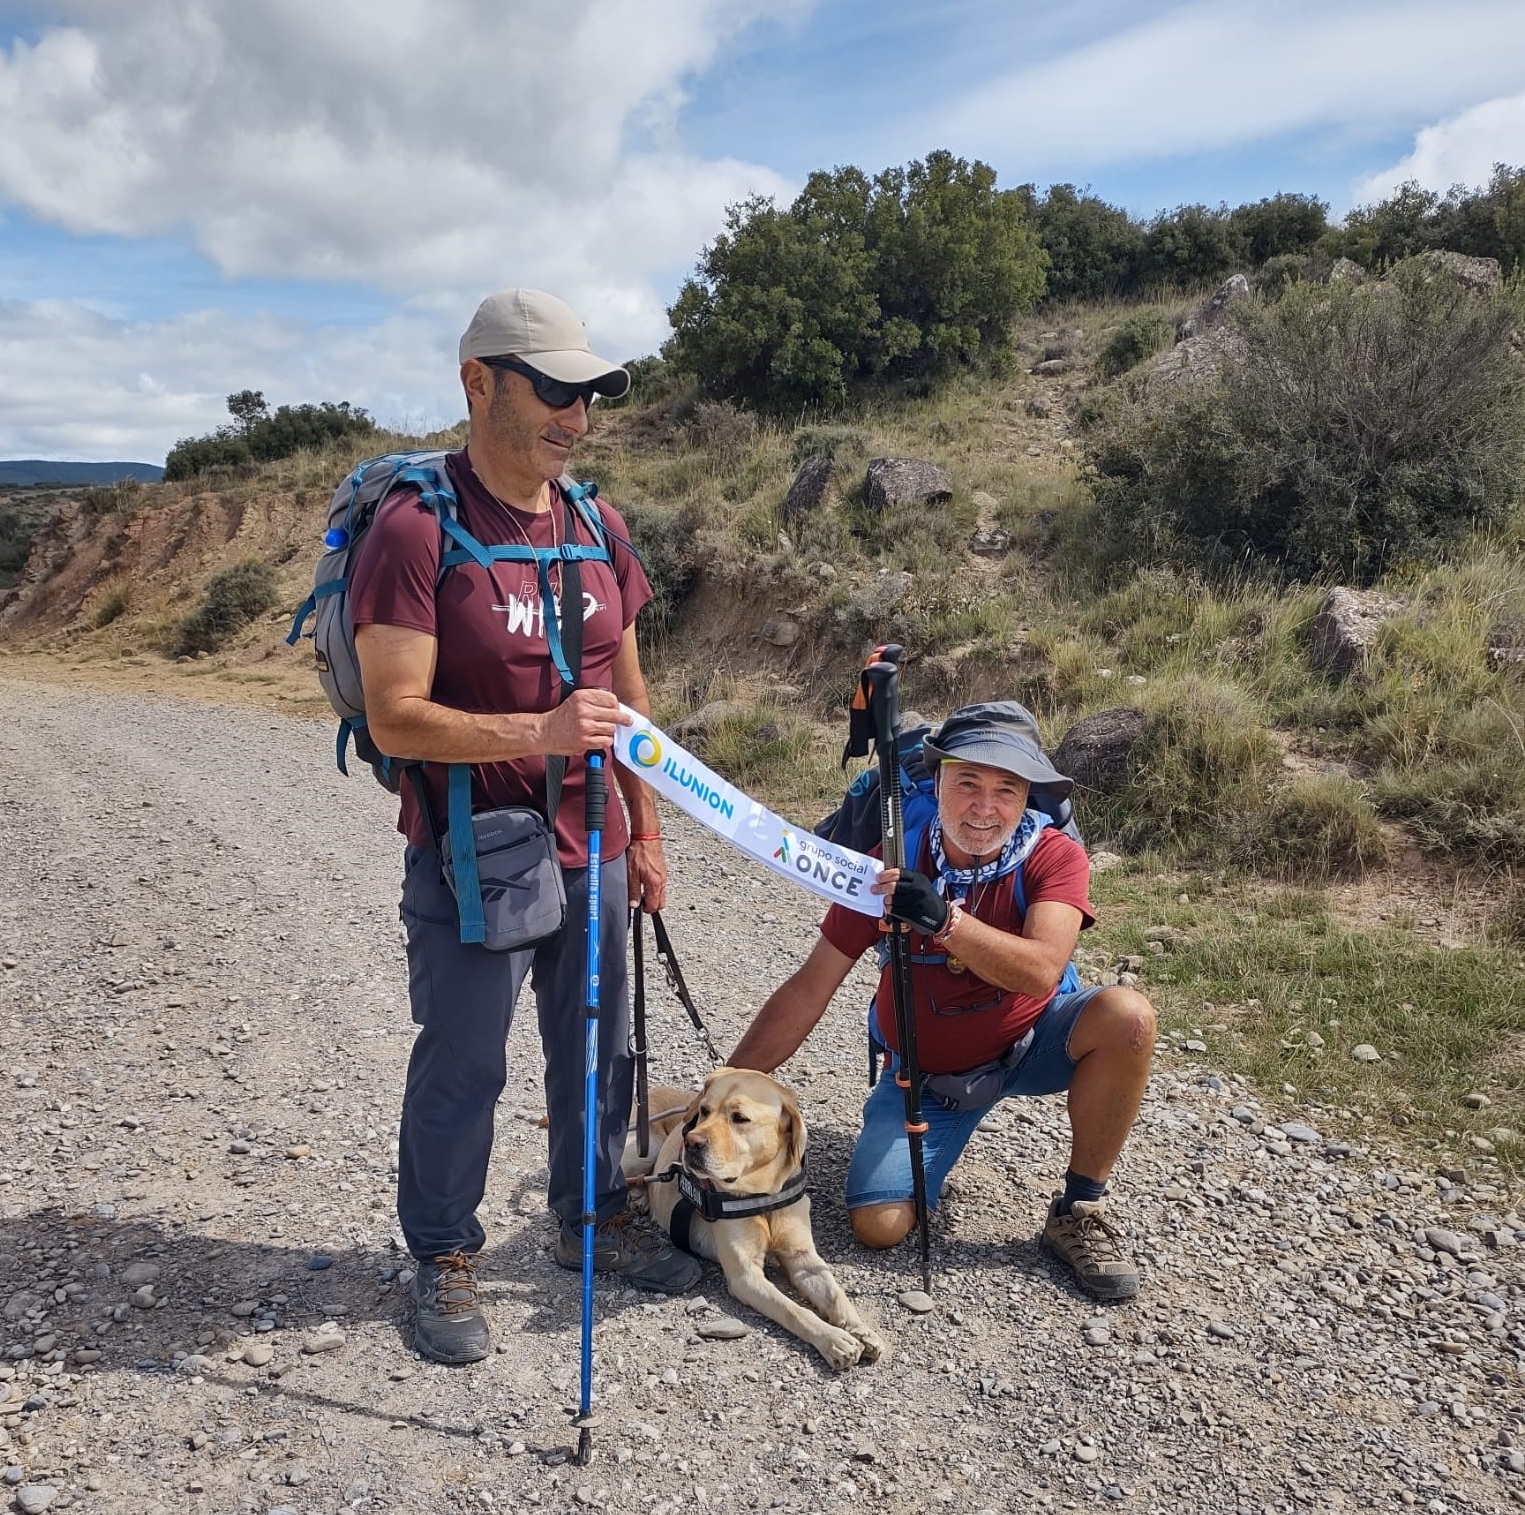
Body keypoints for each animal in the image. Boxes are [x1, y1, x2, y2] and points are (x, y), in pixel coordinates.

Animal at [631, 1061, 890, 1373]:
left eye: (740, 1118)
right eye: (704, 1110)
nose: (690, 1141)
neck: (763, 1195)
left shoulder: (804, 1258)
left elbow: (836, 1295)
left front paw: (861, 1330)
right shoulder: (746, 1275)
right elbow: (794, 1310)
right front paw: (833, 1339)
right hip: (643, 1150)